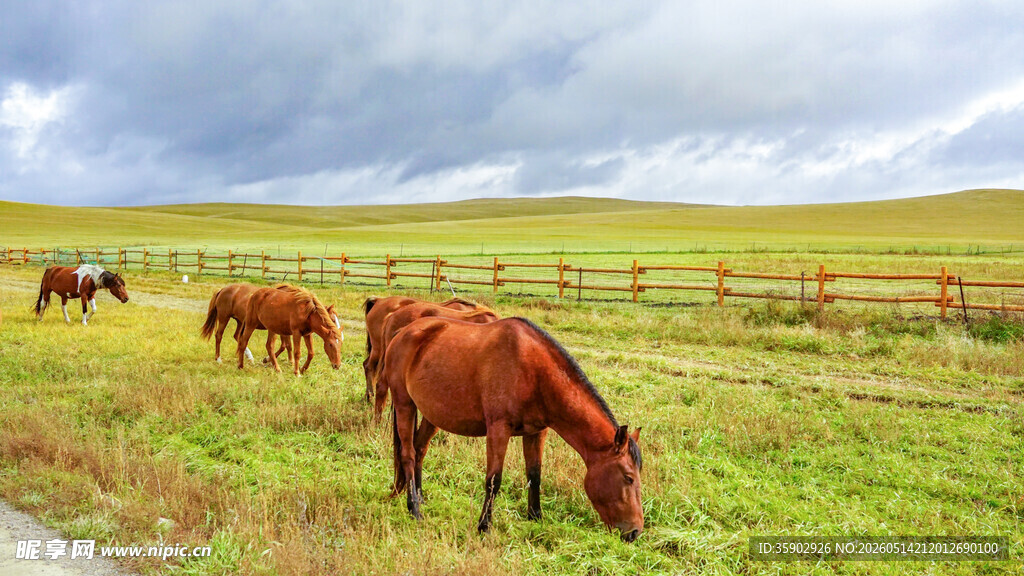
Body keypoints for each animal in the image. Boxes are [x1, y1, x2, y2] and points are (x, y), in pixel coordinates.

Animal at [201, 283, 340, 365]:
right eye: (332, 320)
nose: (339, 335)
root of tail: (222, 289)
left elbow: (284, 346)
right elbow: (286, 345)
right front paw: (276, 360)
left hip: (240, 321)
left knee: (238, 337)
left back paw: (249, 357)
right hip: (224, 318)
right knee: (219, 335)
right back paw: (218, 358)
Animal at [378, 316, 644, 541]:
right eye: (628, 477)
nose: (635, 532)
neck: (533, 370)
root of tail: (403, 332)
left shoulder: (536, 432)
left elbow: (534, 475)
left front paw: (535, 518)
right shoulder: (498, 429)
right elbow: (493, 480)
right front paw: (484, 526)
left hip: (432, 414)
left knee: (420, 449)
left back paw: (420, 498)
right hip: (404, 404)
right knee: (408, 454)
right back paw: (414, 509)